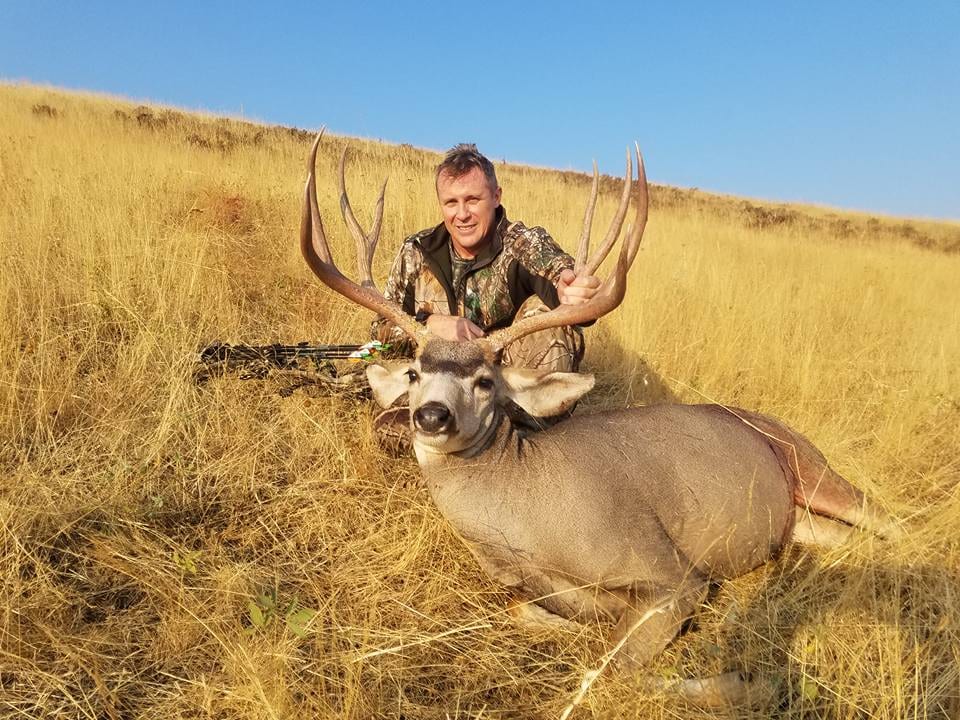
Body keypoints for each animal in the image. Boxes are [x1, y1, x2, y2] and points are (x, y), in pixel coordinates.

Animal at [298, 133, 899, 706]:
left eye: (486, 381)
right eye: (416, 372)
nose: (431, 415)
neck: (527, 515)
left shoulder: (673, 573)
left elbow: (609, 673)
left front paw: (750, 685)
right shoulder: (544, 590)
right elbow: (534, 616)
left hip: (815, 470)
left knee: (891, 522)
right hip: (798, 516)